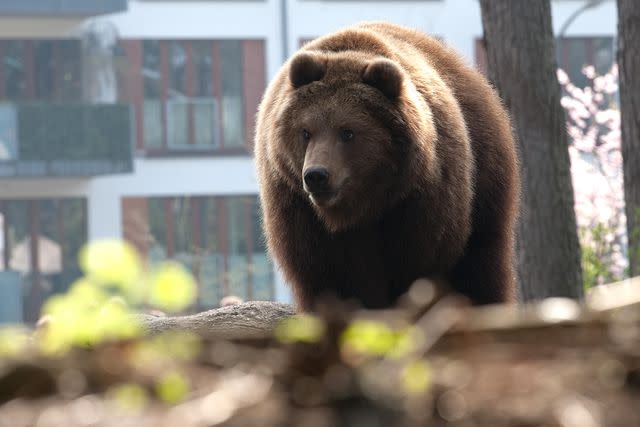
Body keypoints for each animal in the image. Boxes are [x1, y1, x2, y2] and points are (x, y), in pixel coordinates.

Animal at [254, 21, 520, 310]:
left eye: (347, 132)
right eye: (305, 132)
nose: (316, 175)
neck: (361, 207)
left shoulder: (421, 202)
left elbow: (417, 266)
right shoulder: (299, 211)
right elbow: (327, 275)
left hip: (485, 183)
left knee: (482, 261)